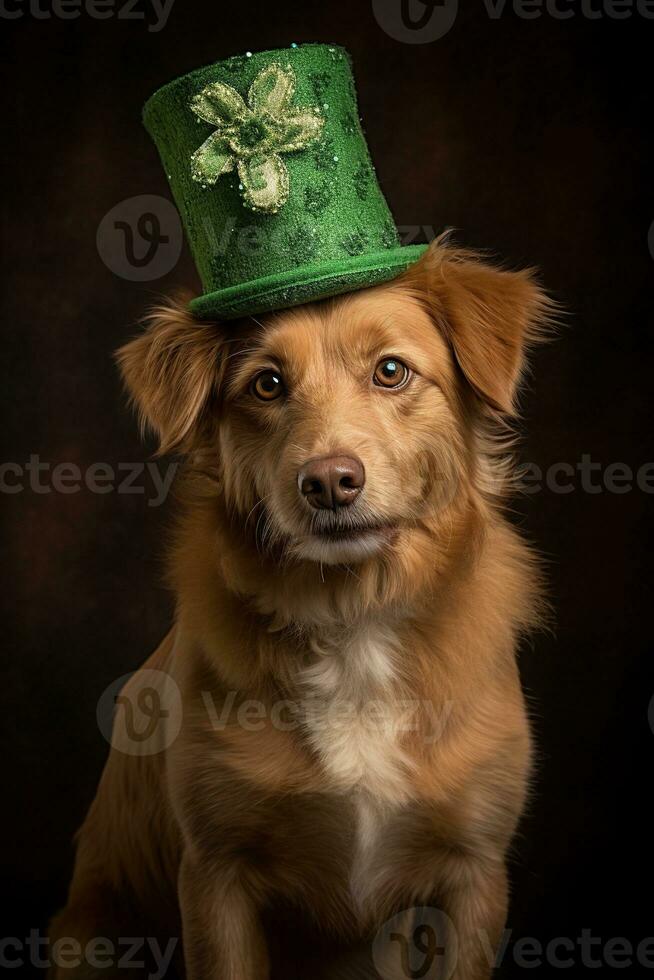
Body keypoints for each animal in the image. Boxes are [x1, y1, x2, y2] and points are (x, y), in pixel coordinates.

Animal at [48, 239, 556, 980]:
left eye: (391, 371)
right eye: (267, 385)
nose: (329, 483)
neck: (354, 613)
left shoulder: (475, 874)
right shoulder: (216, 874)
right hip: (91, 938)